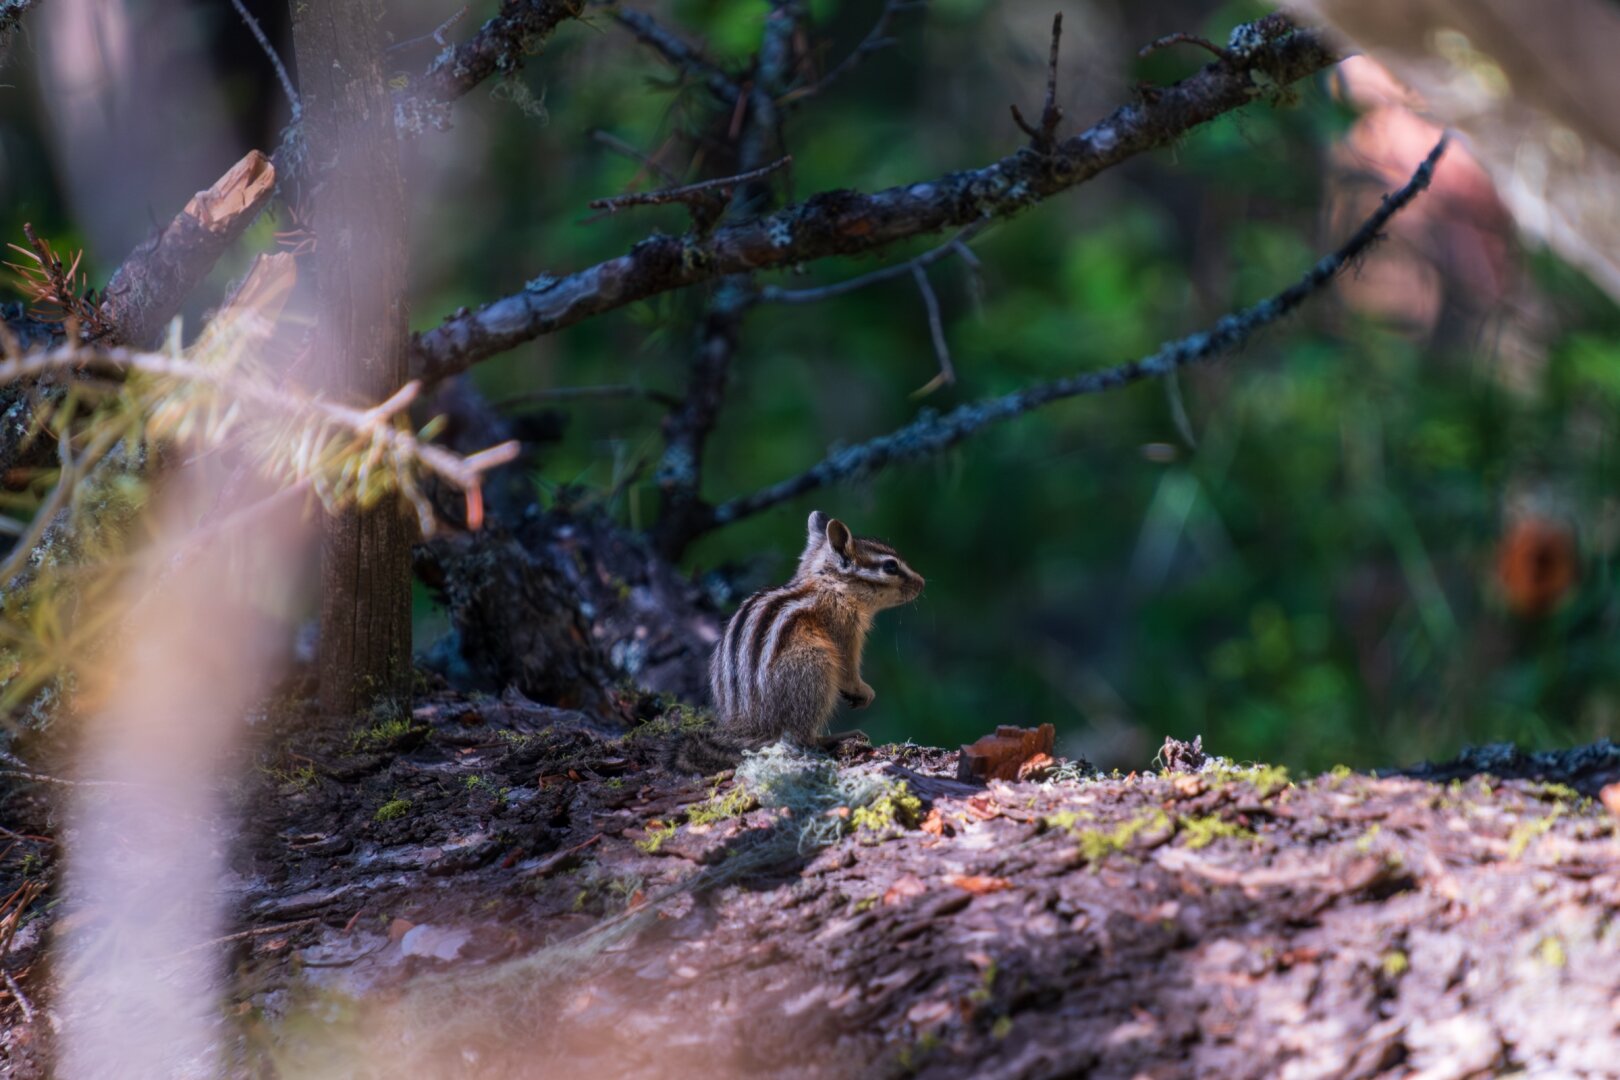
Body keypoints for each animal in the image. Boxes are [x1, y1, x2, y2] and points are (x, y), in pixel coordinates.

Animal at [667, 510, 925, 774]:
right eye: (891, 566)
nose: (922, 583)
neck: (830, 585)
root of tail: (751, 726)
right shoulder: (843, 631)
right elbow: (848, 668)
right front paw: (863, 690)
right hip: (815, 667)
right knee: (803, 738)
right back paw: (837, 737)